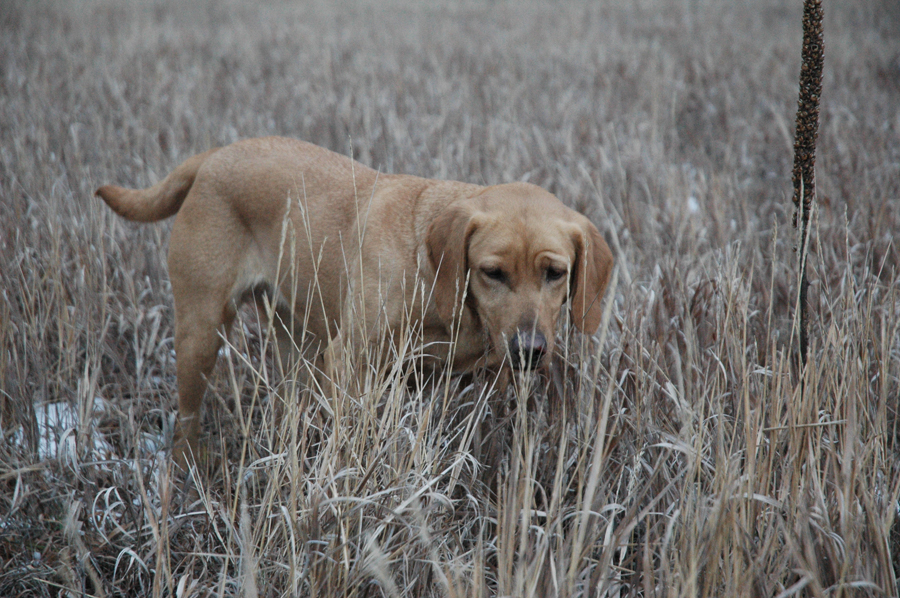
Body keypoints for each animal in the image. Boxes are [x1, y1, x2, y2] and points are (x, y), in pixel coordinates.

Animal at [98, 138, 616, 466]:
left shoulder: (485, 381)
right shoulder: (350, 361)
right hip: (201, 333)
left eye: (555, 273)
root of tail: (214, 156)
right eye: (493, 273)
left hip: (298, 344)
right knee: (187, 423)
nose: (529, 349)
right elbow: (354, 437)